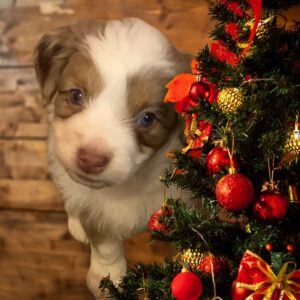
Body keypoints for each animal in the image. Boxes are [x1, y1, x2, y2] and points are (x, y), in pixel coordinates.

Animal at [33, 18, 190, 298]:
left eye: (147, 118)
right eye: (75, 95)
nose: (91, 158)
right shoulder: (93, 207)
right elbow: (105, 243)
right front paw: (108, 279)